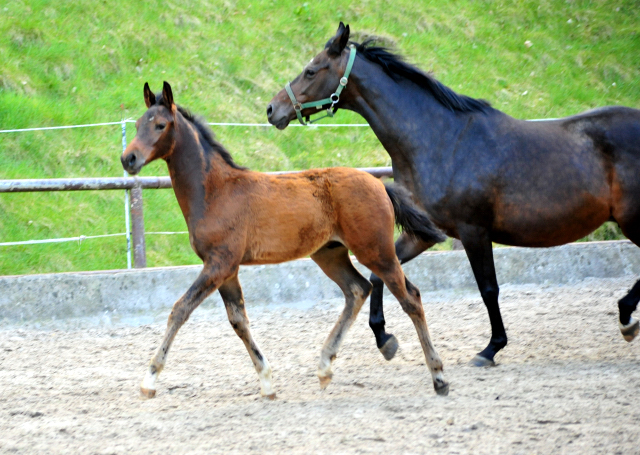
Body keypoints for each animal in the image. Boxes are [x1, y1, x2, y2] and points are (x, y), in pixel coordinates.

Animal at [122, 82, 448, 400]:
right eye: (137, 124)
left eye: (160, 125)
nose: (129, 159)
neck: (215, 192)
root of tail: (379, 184)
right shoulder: (227, 269)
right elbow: (238, 320)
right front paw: (267, 383)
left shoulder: (219, 263)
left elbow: (180, 310)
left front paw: (149, 380)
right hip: (330, 254)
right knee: (358, 289)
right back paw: (325, 367)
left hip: (376, 251)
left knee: (410, 299)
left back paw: (439, 377)